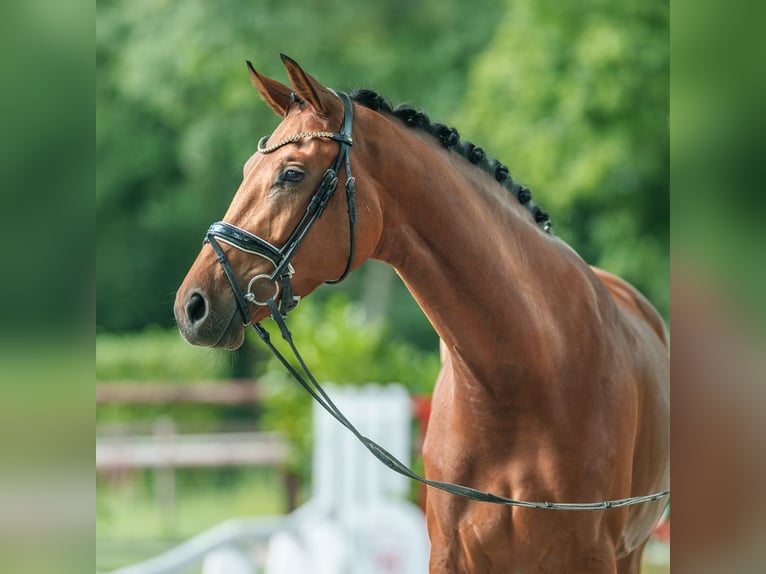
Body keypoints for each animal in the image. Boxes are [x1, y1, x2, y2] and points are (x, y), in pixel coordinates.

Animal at [177, 55, 668, 574]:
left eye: (291, 173)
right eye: (248, 167)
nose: (192, 306)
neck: (524, 378)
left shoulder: (592, 555)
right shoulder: (450, 554)